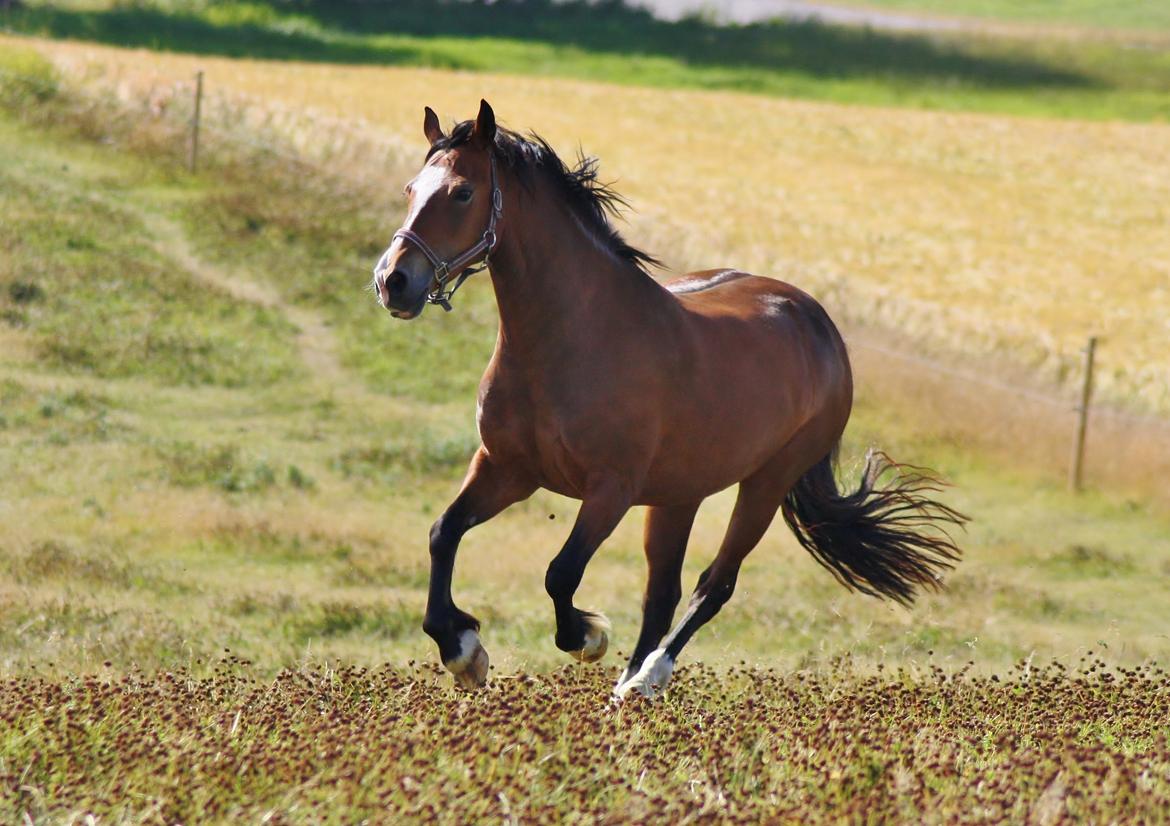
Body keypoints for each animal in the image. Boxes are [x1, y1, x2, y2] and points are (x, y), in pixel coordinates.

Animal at [369, 99, 964, 697]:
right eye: (410, 189)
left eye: (462, 192)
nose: (393, 281)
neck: (569, 340)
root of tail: (818, 324)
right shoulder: (506, 469)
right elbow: (443, 533)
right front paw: (463, 650)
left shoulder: (610, 489)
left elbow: (561, 573)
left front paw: (587, 636)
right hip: (680, 495)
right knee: (663, 592)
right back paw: (627, 687)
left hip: (765, 484)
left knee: (714, 584)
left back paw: (646, 678)